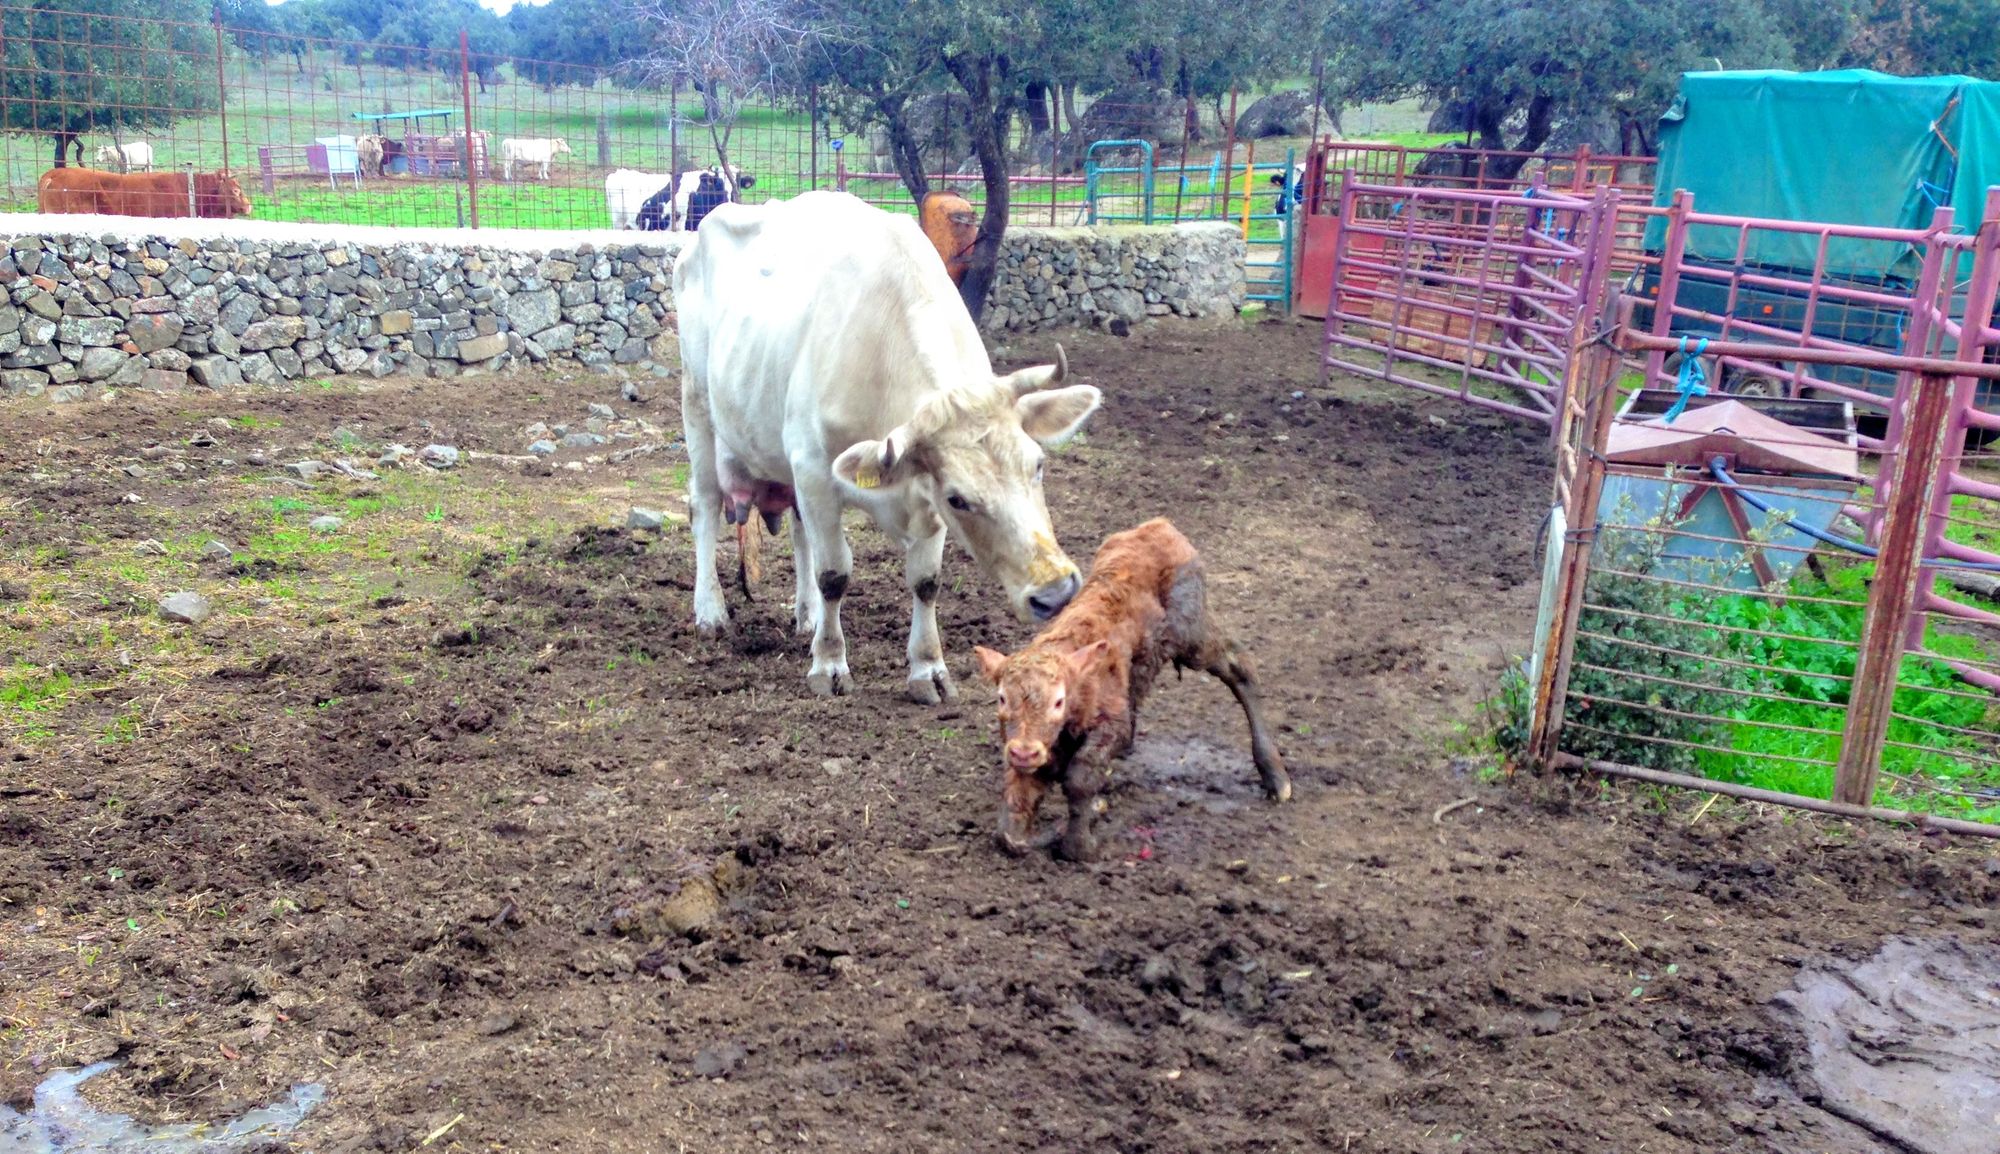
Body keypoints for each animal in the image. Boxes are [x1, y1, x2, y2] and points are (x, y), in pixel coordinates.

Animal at [680, 190, 1104, 696]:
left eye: (1037, 465)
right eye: (958, 498)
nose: (1056, 594)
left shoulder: (915, 494)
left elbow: (926, 580)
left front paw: (928, 668)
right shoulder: (815, 471)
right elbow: (834, 573)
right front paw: (829, 664)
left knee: (800, 531)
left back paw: (806, 617)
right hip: (698, 408)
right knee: (705, 507)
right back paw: (711, 612)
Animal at [972, 516, 1296, 860]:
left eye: (1058, 701)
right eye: (1002, 698)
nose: (1024, 751)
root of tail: (1158, 526)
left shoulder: (1111, 724)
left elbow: (1080, 777)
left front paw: (1080, 842)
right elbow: (1012, 824)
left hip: (1192, 634)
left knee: (1239, 666)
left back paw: (1275, 778)